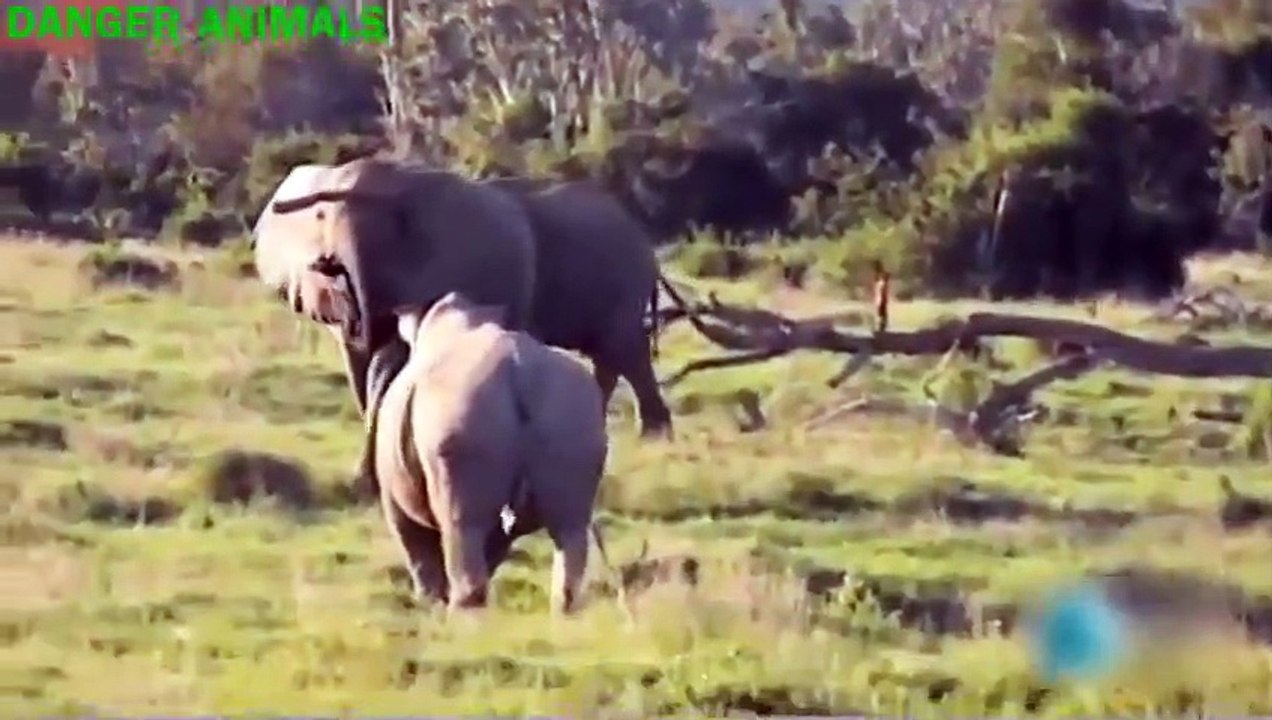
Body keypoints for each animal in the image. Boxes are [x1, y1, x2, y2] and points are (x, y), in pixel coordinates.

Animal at [374, 291, 609, 613]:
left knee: (463, 526)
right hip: (573, 408)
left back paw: (460, 615)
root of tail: (518, 370)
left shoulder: (394, 493)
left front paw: (430, 605)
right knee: (570, 526)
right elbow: (493, 549)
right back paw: (564, 613)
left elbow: (418, 550)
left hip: (461, 411)